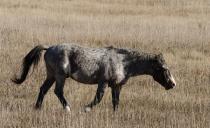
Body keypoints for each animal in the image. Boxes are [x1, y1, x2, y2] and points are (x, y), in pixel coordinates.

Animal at [11, 43, 176, 111]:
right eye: (164, 68)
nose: (172, 84)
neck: (122, 61)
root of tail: (49, 48)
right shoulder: (103, 82)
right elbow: (98, 98)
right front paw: (86, 109)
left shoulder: (117, 86)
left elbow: (116, 101)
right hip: (60, 76)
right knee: (58, 91)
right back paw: (67, 108)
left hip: (51, 75)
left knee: (43, 90)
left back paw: (37, 108)